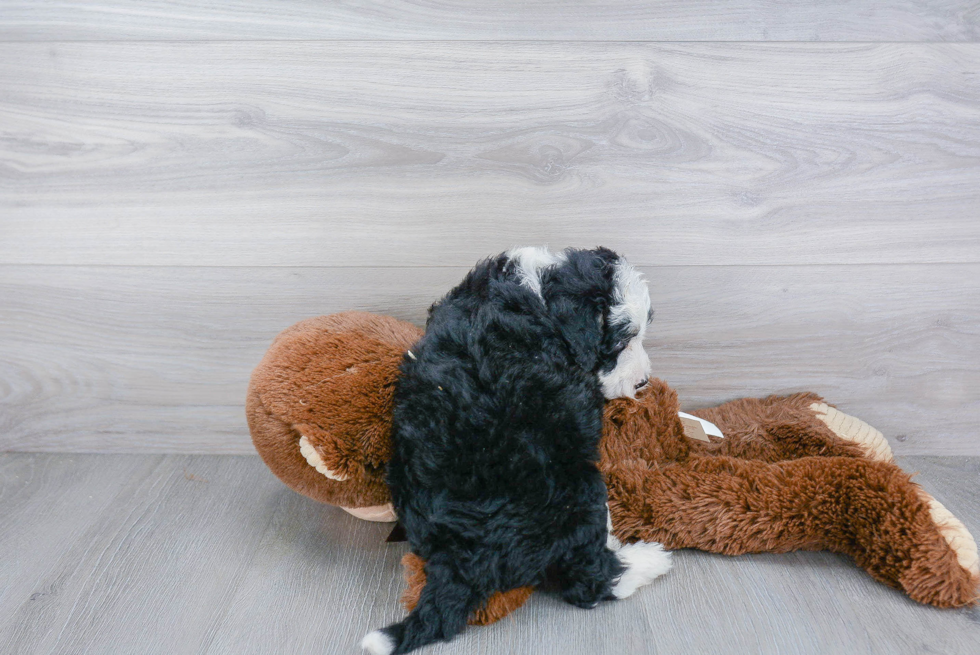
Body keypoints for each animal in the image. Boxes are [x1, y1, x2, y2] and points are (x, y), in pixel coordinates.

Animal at [364, 247, 668, 655]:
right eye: (621, 342)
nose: (643, 382)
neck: (542, 294)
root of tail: (457, 561)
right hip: (576, 488)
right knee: (588, 581)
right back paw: (648, 560)